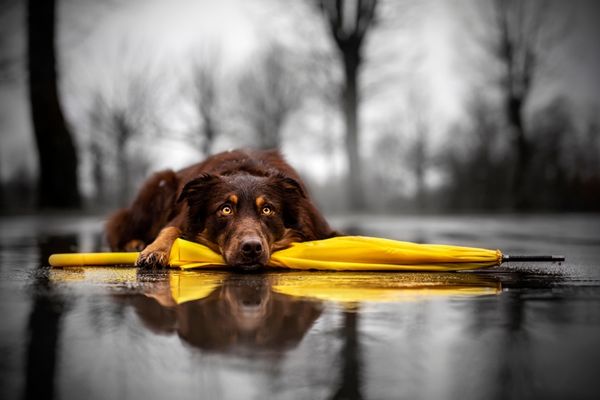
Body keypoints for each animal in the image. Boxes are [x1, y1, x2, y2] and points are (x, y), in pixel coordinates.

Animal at [105, 149, 336, 268]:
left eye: (267, 210)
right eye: (226, 209)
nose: (252, 248)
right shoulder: (181, 217)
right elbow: (169, 229)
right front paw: (155, 250)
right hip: (158, 186)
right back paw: (134, 243)